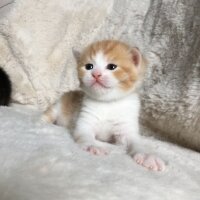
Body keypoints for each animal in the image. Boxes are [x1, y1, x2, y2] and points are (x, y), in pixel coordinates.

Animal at [42, 39, 166, 171]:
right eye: (89, 66)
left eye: (112, 67)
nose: (96, 74)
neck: (108, 103)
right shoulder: (85, 120)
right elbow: (84, 135)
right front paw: (93, 146)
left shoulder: (126, 127)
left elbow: (136, 142)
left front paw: (148, 156)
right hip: (59, 104)